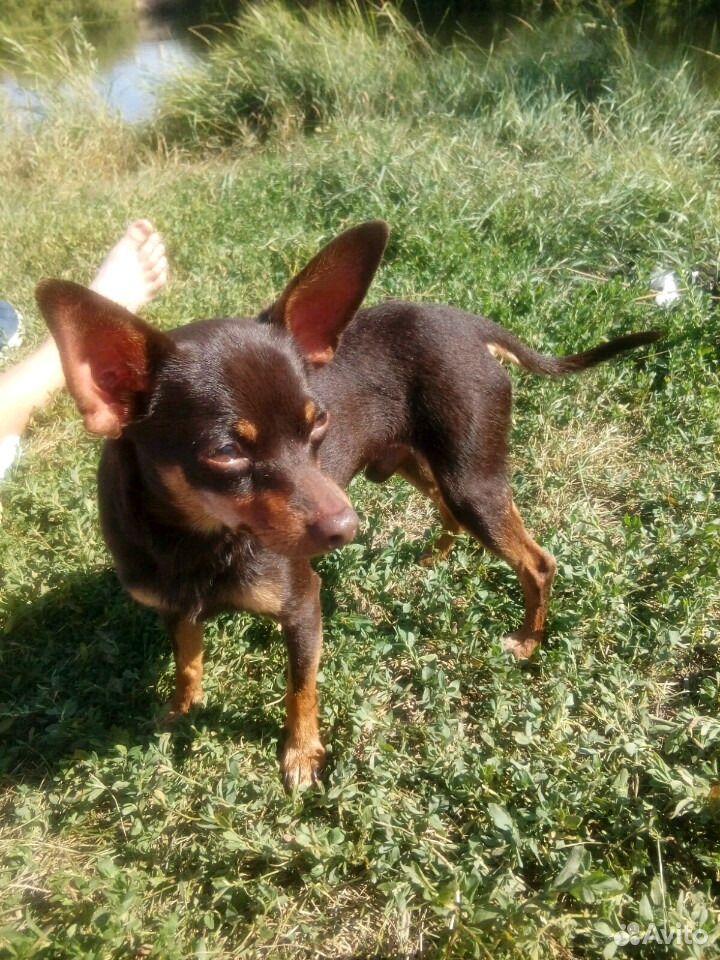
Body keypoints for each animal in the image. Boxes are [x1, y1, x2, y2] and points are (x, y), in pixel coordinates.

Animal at [36, 221, 660, 789]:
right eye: (226, 454)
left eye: (318, 424)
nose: (346, 527)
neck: (197, 539)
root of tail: (468, 322)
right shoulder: (174, 609)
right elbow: (187, 663)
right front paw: (179, 712)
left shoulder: (302, 604)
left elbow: (300, 688)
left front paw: (301, 755)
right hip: (415, 463)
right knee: (450, 515)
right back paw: (434, 561)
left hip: (471, 479)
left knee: (536, 561)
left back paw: (527, 642)